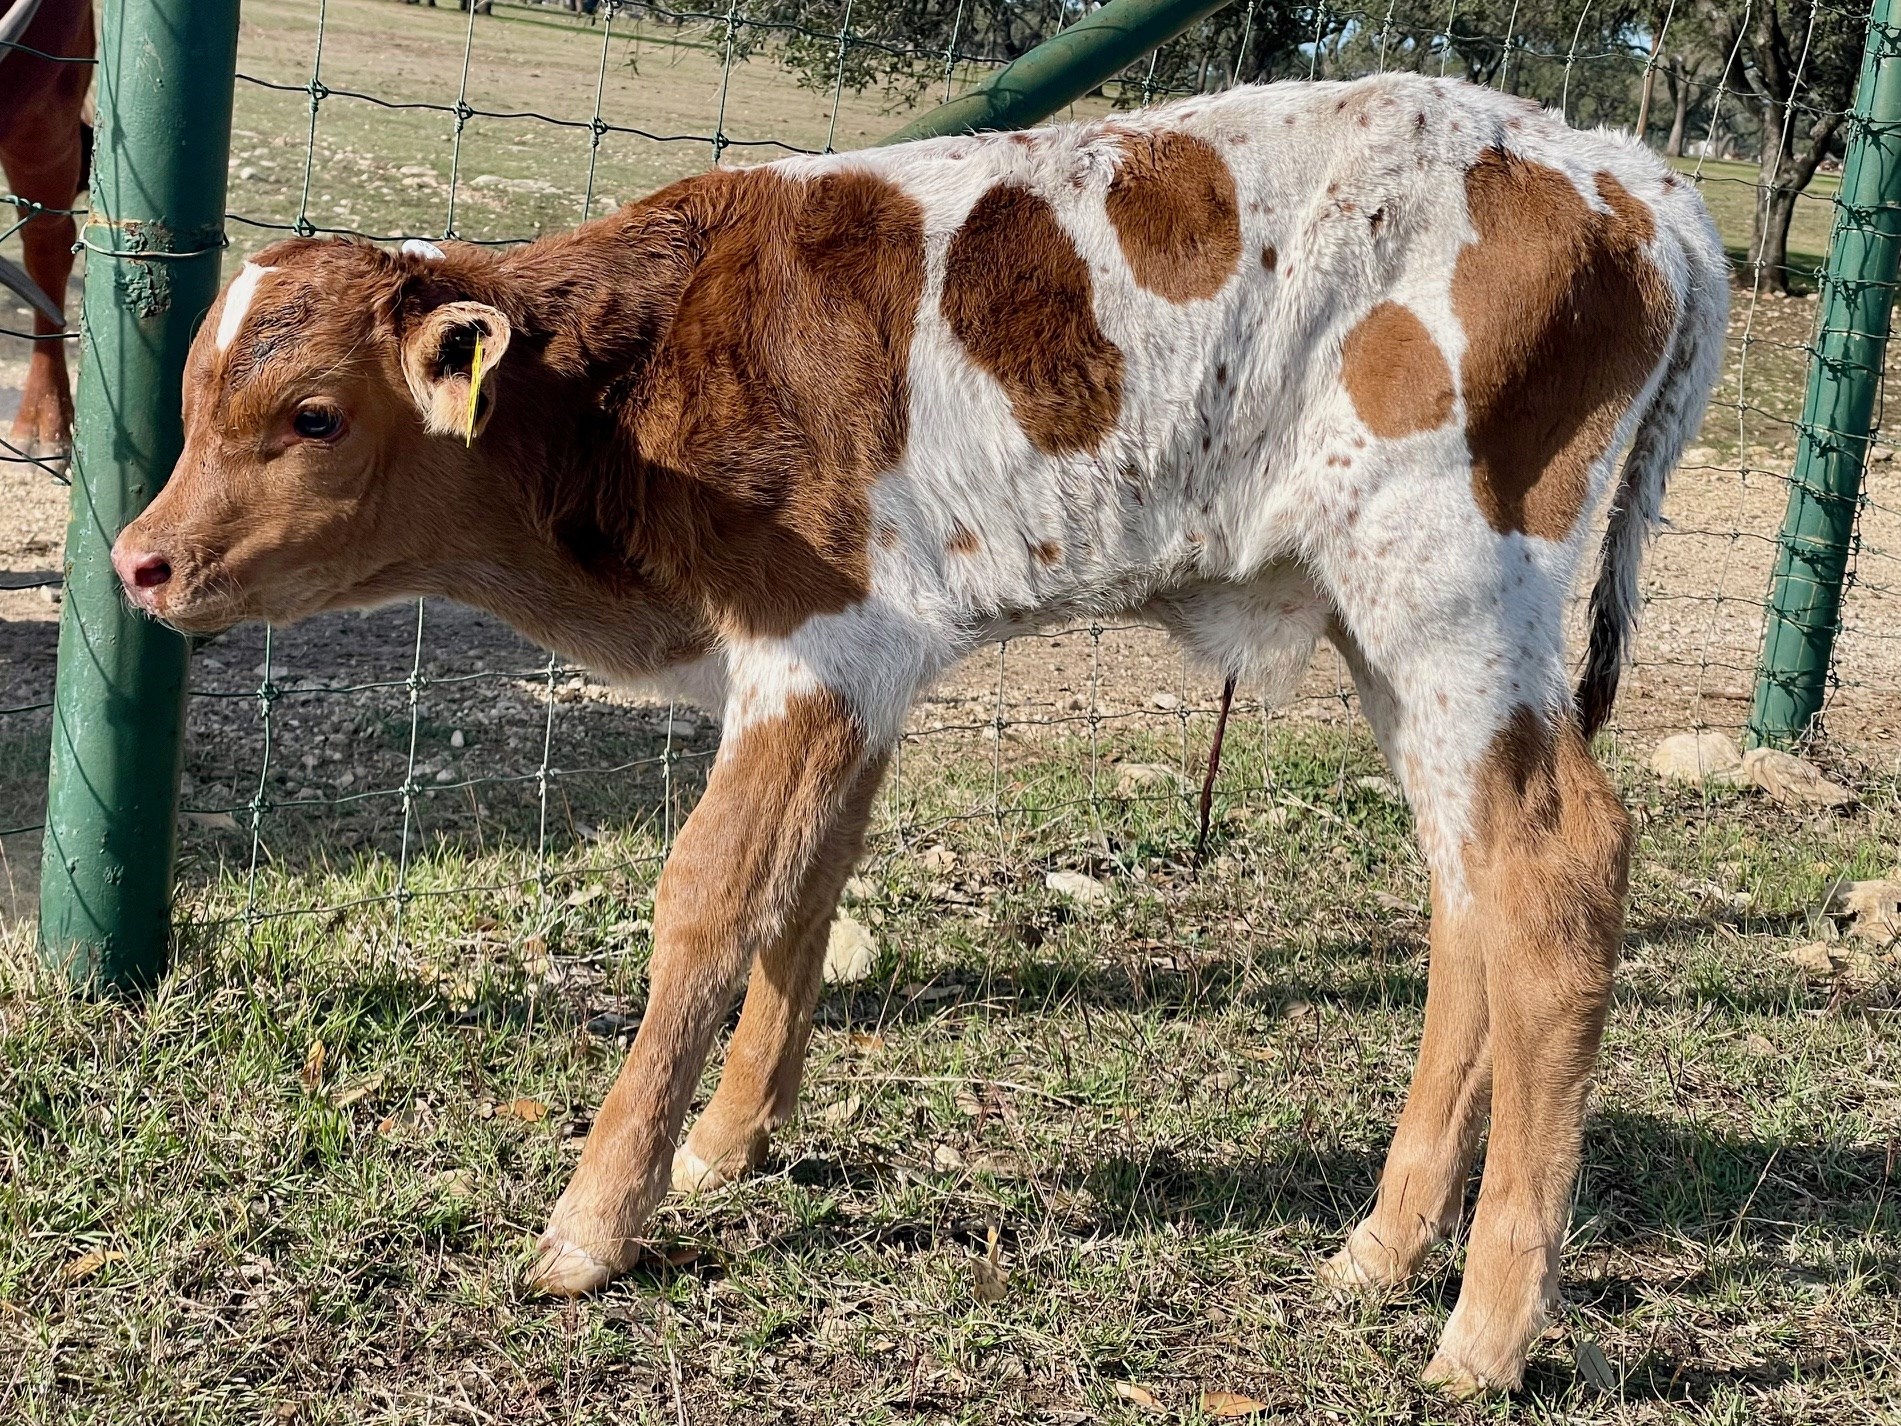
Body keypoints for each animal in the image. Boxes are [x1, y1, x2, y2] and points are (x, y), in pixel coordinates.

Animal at [110, 73, 1727, 1394]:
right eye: (193, 400)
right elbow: (807, 893)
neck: (638, 378)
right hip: (1391, 631)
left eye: (314, 414)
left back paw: (1486, 1330)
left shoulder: (815, 644)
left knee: (1557, 873)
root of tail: (1630, 175)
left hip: (1449, 580)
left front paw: (593, 1220)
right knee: (1469, 893)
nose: (139, 560)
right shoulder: (859, 673)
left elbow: (709, 901)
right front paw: (727, 1144)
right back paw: (1382, 1248)